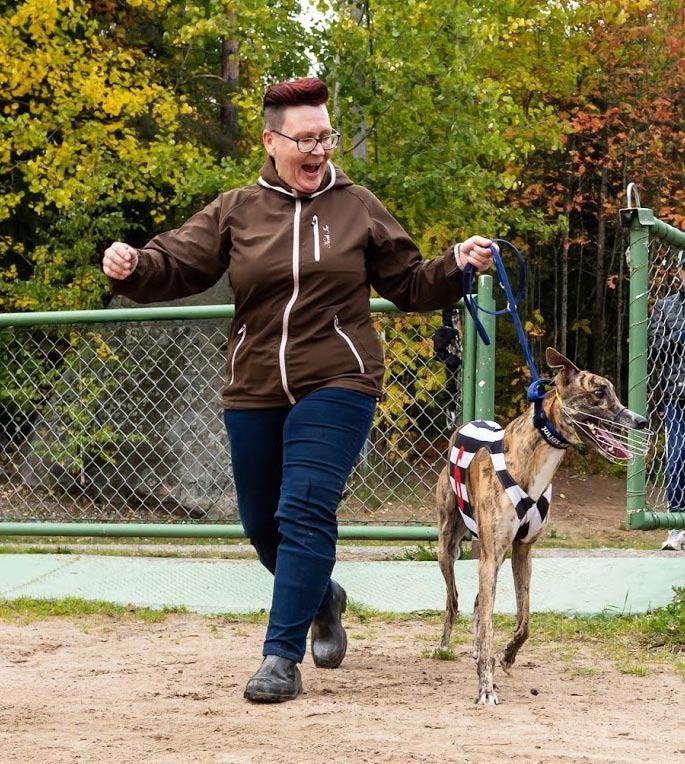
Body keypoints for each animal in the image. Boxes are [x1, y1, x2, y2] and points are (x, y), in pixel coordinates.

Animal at [436, 346, 644, 704]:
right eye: (599, 392)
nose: (641, 421)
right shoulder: (490, 556)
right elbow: (490, 624)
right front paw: (486, 686)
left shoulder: (523, 551)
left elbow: (524, 620)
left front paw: (506, 655)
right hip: (448, 548)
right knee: (455, 601)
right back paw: (446, 646)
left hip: (494, 556)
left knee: (477, 602)